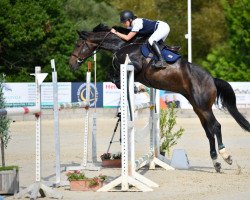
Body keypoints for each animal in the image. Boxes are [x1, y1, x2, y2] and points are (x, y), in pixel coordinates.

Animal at [69, 23, 250, 173]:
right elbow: (112, 76)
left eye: (78, 44)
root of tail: (212, 79)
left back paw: (226, 156)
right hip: (197, 107)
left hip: (203, 106)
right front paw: (134, 88)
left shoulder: (134, 66)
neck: (123, 45)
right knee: (208, 131)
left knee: (216, 126)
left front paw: (131, 87)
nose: (71, 64)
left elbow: (114, 76)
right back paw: (216, 162)